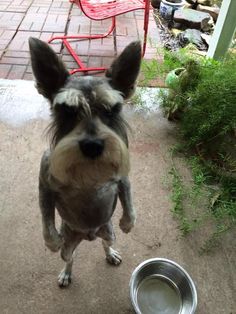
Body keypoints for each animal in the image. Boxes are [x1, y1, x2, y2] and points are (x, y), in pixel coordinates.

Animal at [28, 36, 141, 288]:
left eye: (112, 109)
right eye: (67, 111)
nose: (93, 146)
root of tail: (89, 235)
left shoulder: (122, 177)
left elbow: (129, 201)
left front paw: (128, 223)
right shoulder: (44, 185)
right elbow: (45, 217)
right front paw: (51, 241)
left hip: (108, 231)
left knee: (105, 244)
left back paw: (111, 254)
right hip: (70, 243)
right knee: (70, 257)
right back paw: (66, 273)